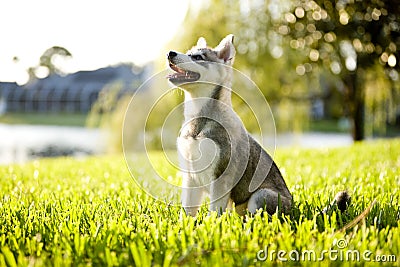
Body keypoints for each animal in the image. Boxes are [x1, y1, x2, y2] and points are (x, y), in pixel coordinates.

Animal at [167, 34, 292, 218]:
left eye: (198, 57)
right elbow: (188, 211)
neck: (199, 120)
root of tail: (294, 204)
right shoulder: (190, 177)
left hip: (261, 196)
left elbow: (214, 211)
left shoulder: (221, 178)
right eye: (188, 52)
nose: (170, 53)